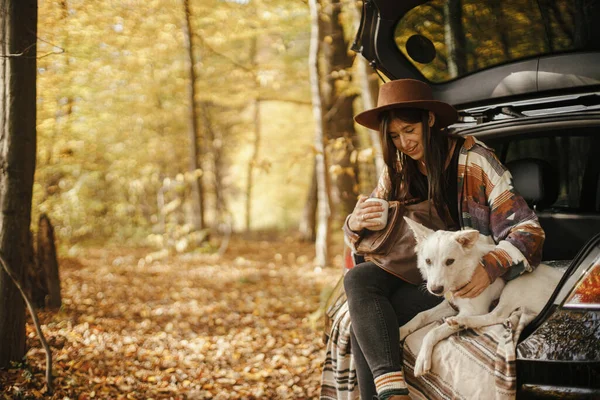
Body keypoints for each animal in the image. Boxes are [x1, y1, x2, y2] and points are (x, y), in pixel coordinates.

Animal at [398, 217, 564, 376]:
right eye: (428, 261)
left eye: (450, 261)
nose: (435, 290)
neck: (464, 271)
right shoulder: (450, 304)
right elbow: (421, 315)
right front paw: (401, 330)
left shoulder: (473, 310)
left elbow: (433, 332)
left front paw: (422, 358)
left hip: (514, 286)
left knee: (496, 315)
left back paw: (461, 322)